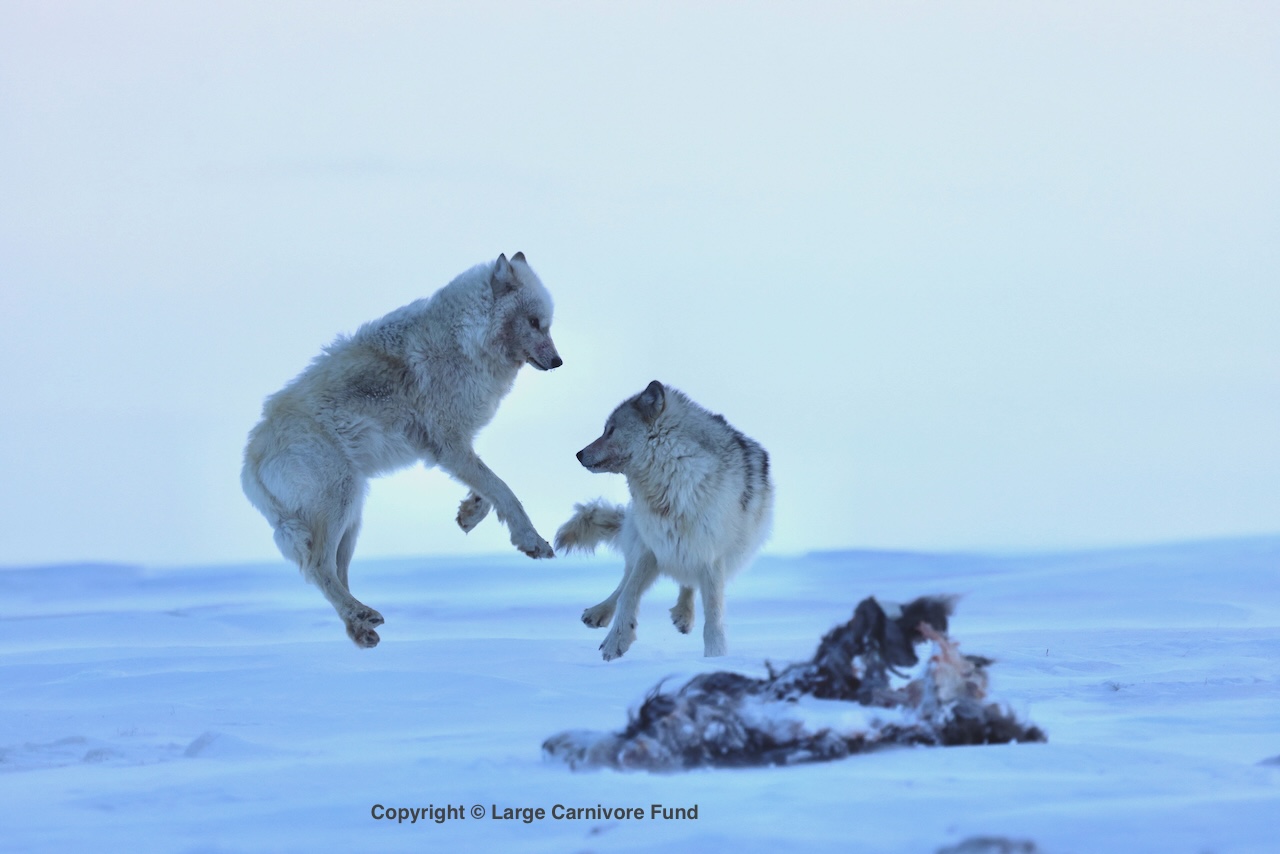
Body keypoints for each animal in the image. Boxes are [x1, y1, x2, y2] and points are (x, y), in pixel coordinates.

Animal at [241, 253, 561, 648]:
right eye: (534, 323)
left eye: (546, 325)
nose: (559, 361)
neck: (464, 341)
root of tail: (249, 461)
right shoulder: (449, 445)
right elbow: (505, 491)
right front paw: (532, 541)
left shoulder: (454, 448)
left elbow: (489, 491)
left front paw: (469, 513)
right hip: (338, 504)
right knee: (318, 567)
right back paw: (361, 614)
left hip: (352, 517)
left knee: (335, 573)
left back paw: (360, 627)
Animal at [554, 381, 773, 659]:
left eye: (610, 430)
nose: (579, 454)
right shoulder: (653, 548)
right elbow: (628, 594)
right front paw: (617, 640)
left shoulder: (710, 555)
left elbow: (713, 614)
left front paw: (715, 655)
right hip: (644, 543)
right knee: (625, 583)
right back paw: (599, 612)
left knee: (689, 582)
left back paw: (684, 615)